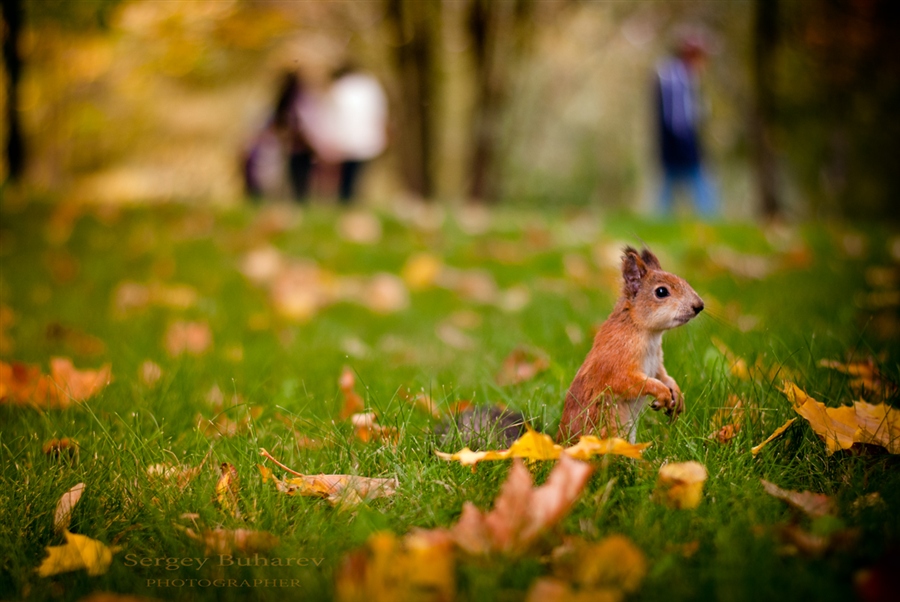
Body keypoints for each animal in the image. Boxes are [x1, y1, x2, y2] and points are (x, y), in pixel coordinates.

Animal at [556, 246, 704, 442]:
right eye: (661, 292)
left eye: (683, 280)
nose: (699, 306)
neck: (646, 333)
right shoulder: (617, 360)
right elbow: (627, 381)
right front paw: (662, 393)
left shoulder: (657, 363)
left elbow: (664, 376)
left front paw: (677, 394)